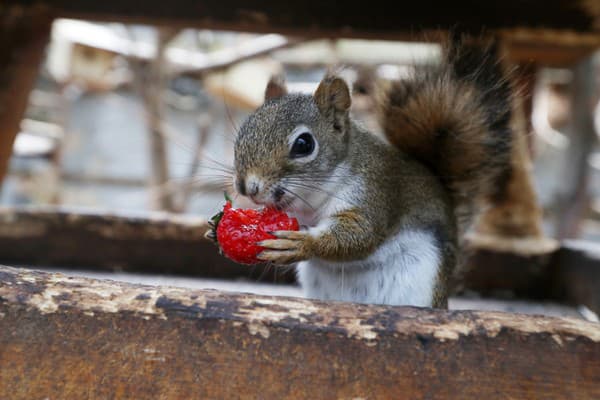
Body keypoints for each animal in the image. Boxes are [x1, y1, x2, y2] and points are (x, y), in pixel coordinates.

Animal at [210, 39, 510, 308]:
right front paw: (216, 229)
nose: (246, 187)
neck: (312, 199)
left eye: (304, 144)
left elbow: (360, 233)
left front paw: (303, 244)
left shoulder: (373, 191)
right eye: (245, 129)